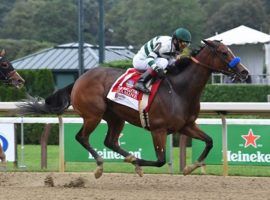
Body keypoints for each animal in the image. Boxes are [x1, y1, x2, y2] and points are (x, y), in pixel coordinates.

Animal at [19, 40, 249, 178]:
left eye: (230, 50)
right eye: (224, 52)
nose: (244, 72)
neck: (178, 90)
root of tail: (79, 78)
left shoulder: (186, 126)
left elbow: (209, 141)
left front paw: (189, 167)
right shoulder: (158, 129)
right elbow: (160, 161)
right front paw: (138, 161)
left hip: (115, 117)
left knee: (110, 141)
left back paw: (127, 159)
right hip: (93, 114)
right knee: (82, 137)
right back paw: (101, 165)